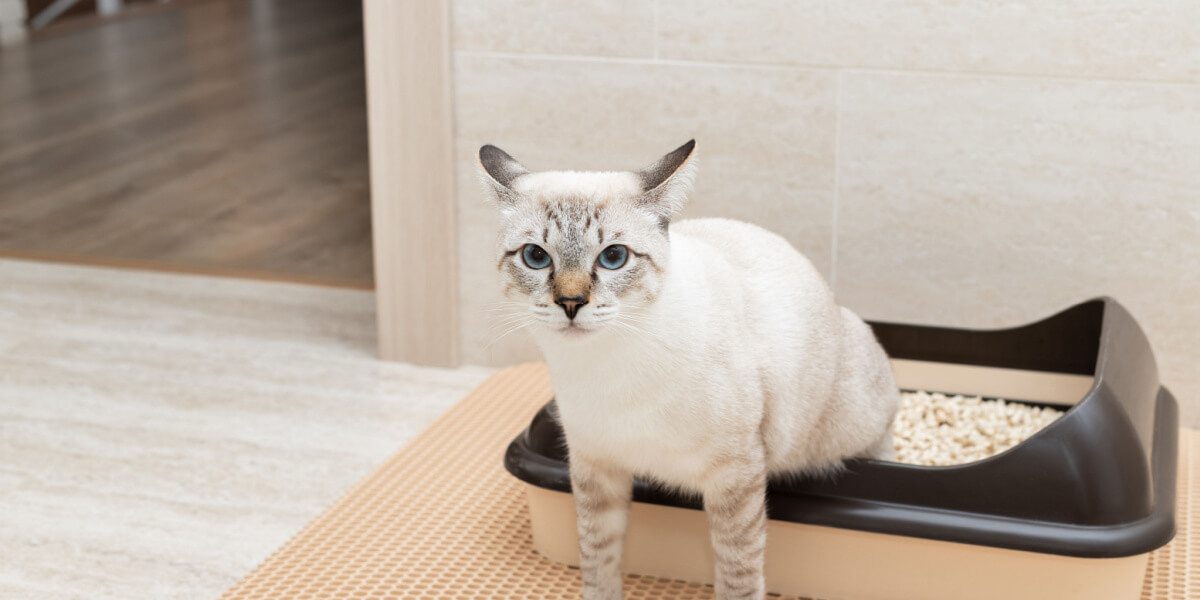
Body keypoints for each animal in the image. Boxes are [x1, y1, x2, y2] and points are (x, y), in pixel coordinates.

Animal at [477, 140, 902, 600]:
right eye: (536, 257)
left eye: (613, 257)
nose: (571, 303)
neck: (604, 367)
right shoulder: (596, 467)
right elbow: (598, 562)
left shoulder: (735, 476)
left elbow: (738, 575)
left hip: (851, 428)